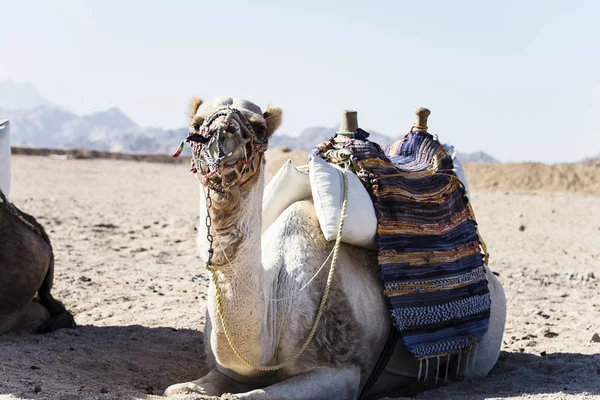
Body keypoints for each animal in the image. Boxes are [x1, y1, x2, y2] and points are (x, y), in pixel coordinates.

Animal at [165, 96, 506, 396]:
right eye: (196, 124)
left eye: (259, 127)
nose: (223, 136)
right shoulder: (229, 371)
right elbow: (178, 391)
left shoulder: (341, 372)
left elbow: (247, 396)